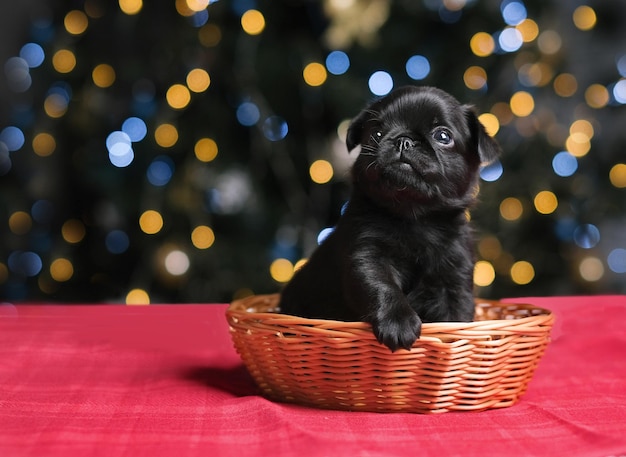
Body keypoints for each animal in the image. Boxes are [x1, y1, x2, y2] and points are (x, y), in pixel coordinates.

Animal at [278, 87, 498, 352]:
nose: (404, 139)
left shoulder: (453, 277)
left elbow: (455, 314)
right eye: (376, 133)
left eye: (443, 136)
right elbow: (382, 285)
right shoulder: (367, 255)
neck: (415, 217)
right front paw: (398, 323)